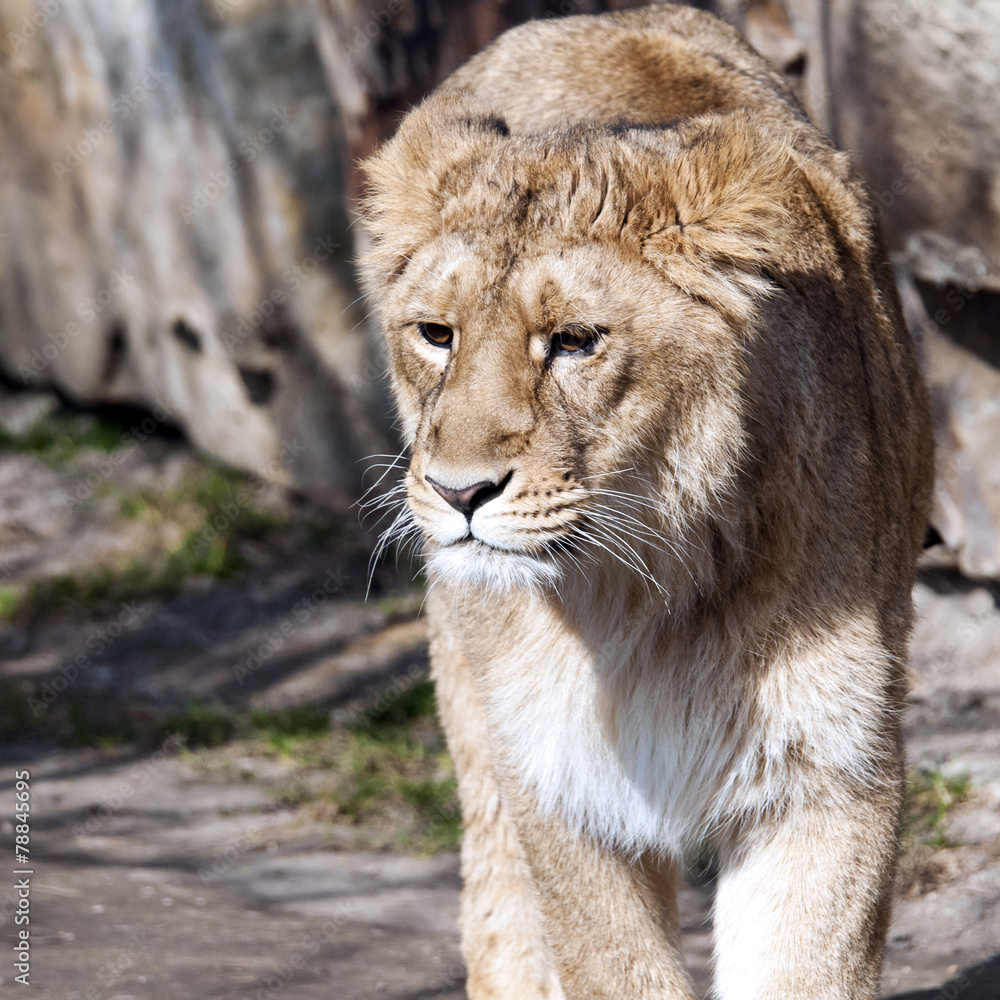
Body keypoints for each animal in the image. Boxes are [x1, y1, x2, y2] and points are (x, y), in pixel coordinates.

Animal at [359, 5, 933, 998]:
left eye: (575, 341)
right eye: (436, 334)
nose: (457, 491)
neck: (643, 596)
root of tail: (587, 19)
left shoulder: (830, 771)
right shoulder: (558, 785)